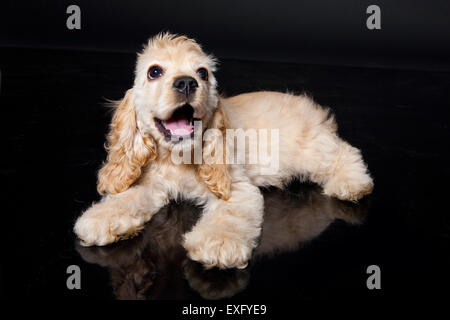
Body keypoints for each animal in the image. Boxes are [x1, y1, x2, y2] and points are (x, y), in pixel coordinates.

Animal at [74, 32, 372, 268]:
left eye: (202, 73)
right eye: (154, 71)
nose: (186, 82)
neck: (177, 159)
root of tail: (309, 105)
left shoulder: (237, 187)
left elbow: (227, 217)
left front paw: (217, 244)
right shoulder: (151, 183)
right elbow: (128, 197)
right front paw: (103, 218)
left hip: (311, 150)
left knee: (345, 152)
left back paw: (352, 183)